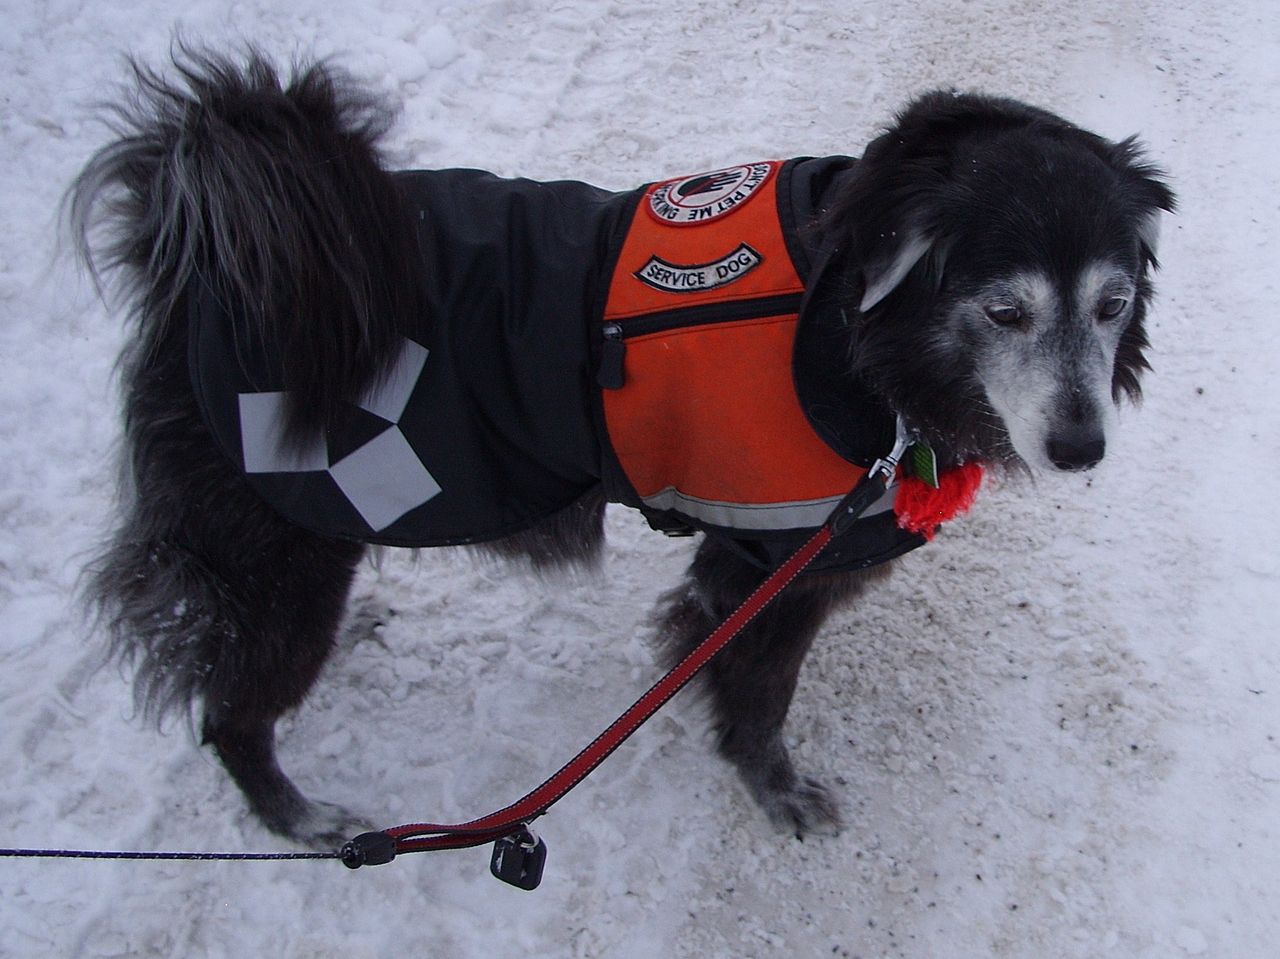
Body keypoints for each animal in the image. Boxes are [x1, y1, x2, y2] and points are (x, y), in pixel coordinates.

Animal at [70, 52, 1172, 845]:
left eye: (1112, 304)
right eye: (1003, 310)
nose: (1080, 446)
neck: (850, 314)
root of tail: (198, 259)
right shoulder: (773, 569)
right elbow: (761, 697)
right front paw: (772, 786)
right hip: (281, 547)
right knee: (229, 711)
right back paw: (299, 816)